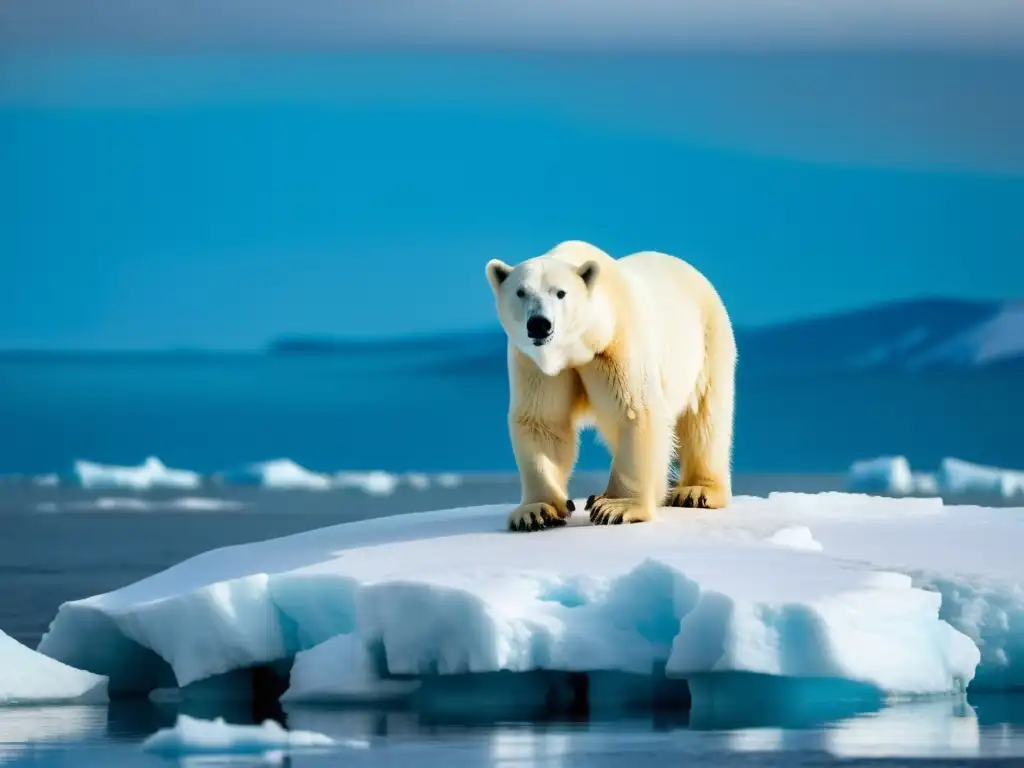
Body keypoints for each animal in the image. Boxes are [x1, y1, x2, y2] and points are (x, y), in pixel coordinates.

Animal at [484, 240, 737, 532]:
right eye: (521, 292)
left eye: (560, 293)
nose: (539, 324)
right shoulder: (536, 364)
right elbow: (542, 422)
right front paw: (536, 511)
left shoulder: (617, 345)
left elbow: (634, 412)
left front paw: (617, 508)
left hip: (707, 342)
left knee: (704, 419)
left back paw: (696, 491)